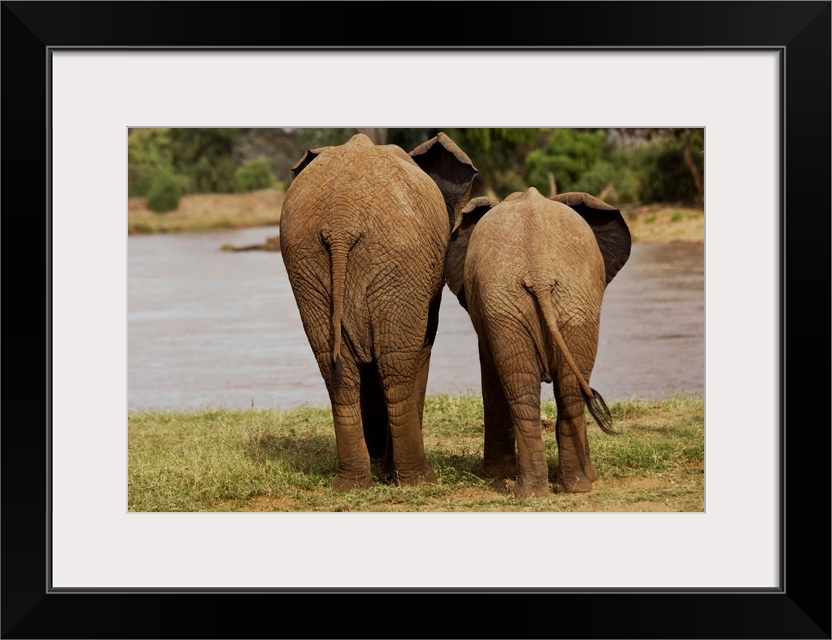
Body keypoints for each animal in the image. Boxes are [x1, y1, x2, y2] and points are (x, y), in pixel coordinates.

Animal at [280, 130, 478, 490]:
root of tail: (341, 220)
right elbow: (422, 347)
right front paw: (388, 471)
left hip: (306, 259)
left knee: (337, 369)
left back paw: (352, 484)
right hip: (399, 259)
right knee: (397, 365)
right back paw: (418, 480)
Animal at [448, 188, 632, 498]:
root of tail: (540, 273)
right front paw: (497, 475)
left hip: (571, 302)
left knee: (562, 390)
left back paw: (564, 487)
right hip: (522, 305)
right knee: (541, 390)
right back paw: (547, 489)